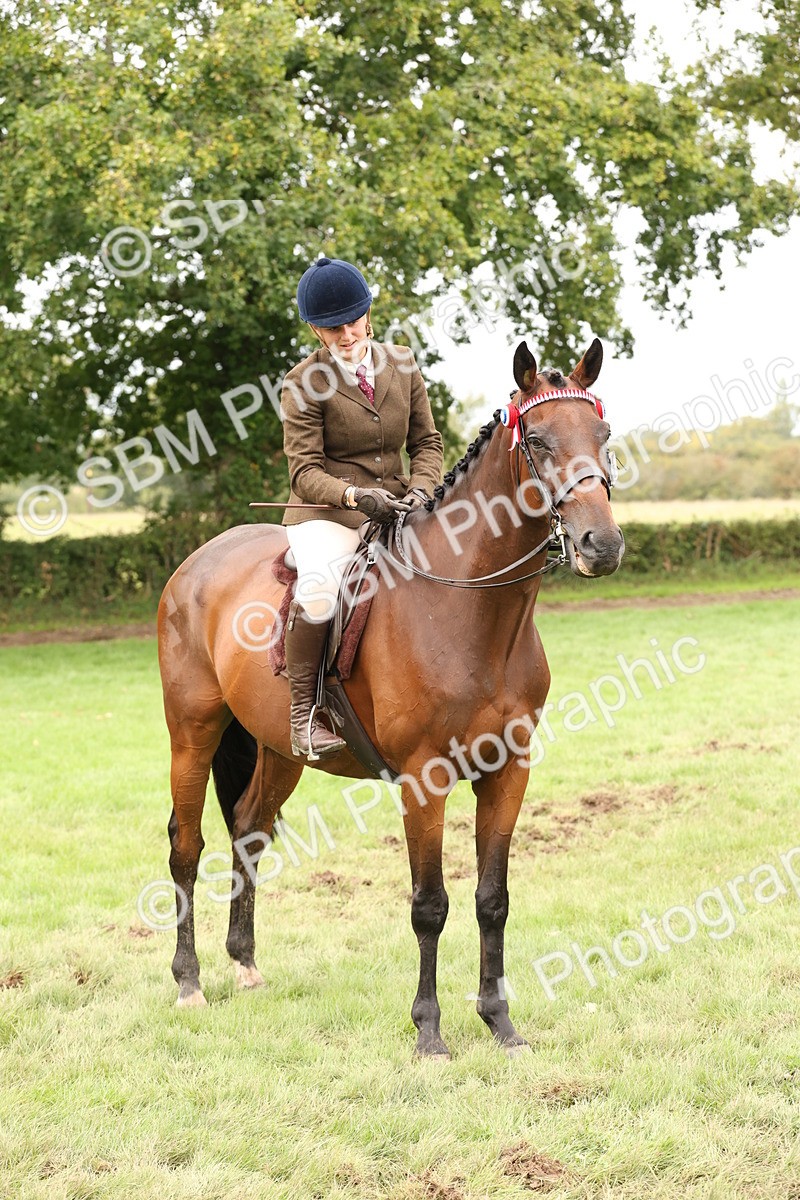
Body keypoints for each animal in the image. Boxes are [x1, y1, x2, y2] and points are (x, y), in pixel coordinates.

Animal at [156, 336, 624, 1059]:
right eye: (540, 441)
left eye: (602, 435)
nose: (601, 545)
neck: (471, 609)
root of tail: (197, 562)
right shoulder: (423, 780)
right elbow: (429, 905)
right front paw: (429, 1032)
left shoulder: (509, 771)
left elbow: (493, 898)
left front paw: (501, 1023)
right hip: (193, 731)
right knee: (187, 844)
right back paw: (190, 982)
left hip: (279, 748)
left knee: (250, 830)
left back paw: (246, 964)